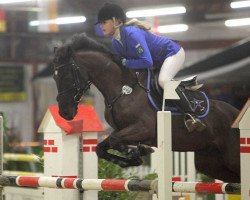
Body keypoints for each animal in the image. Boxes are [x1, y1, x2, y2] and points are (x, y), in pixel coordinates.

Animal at [52, 33, 240, 184]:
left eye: (66, 75)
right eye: (54, 77)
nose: (65, 112)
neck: (122, 90)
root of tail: (236, 113)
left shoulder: (144, 128)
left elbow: (115, 141)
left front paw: (135, 152)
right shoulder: (122, 130)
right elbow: (102, 148)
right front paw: (133, 155)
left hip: (231, 157)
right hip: (210, 163)